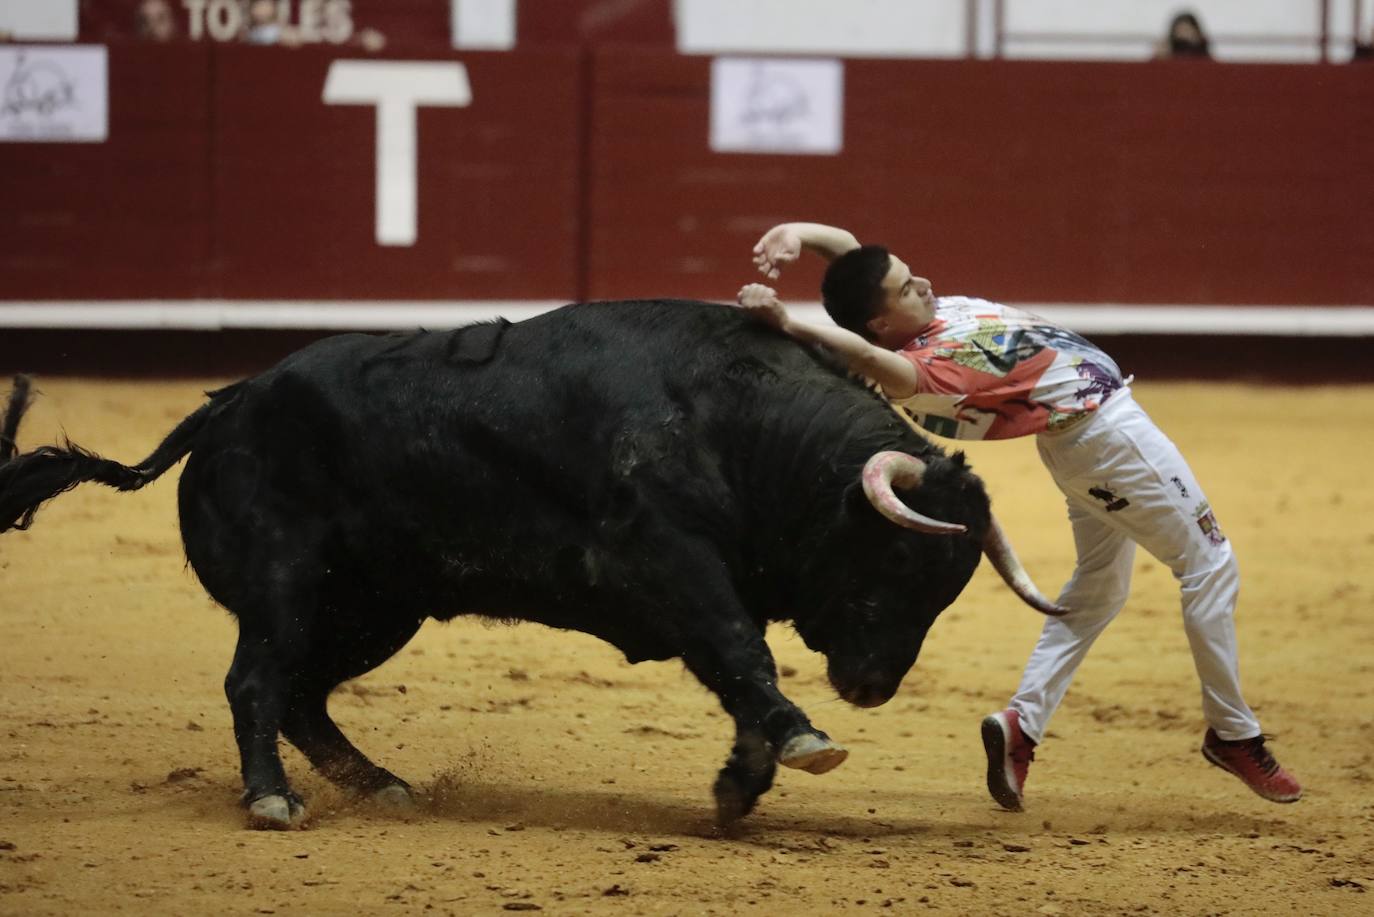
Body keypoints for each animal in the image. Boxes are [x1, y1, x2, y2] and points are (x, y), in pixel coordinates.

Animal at [0, 302, 1060, 830]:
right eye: (897, 552)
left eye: (948, 587)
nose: (874, 685)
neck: (738, 420)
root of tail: (226, 404)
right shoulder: (671, 562)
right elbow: (741, 655)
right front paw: (803, 740)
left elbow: (734, 677)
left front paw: (738, 786)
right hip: (284, 585)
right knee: (256, 680)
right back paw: (272, 799)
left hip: (375, 607)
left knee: (303, 692)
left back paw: (382, 785)